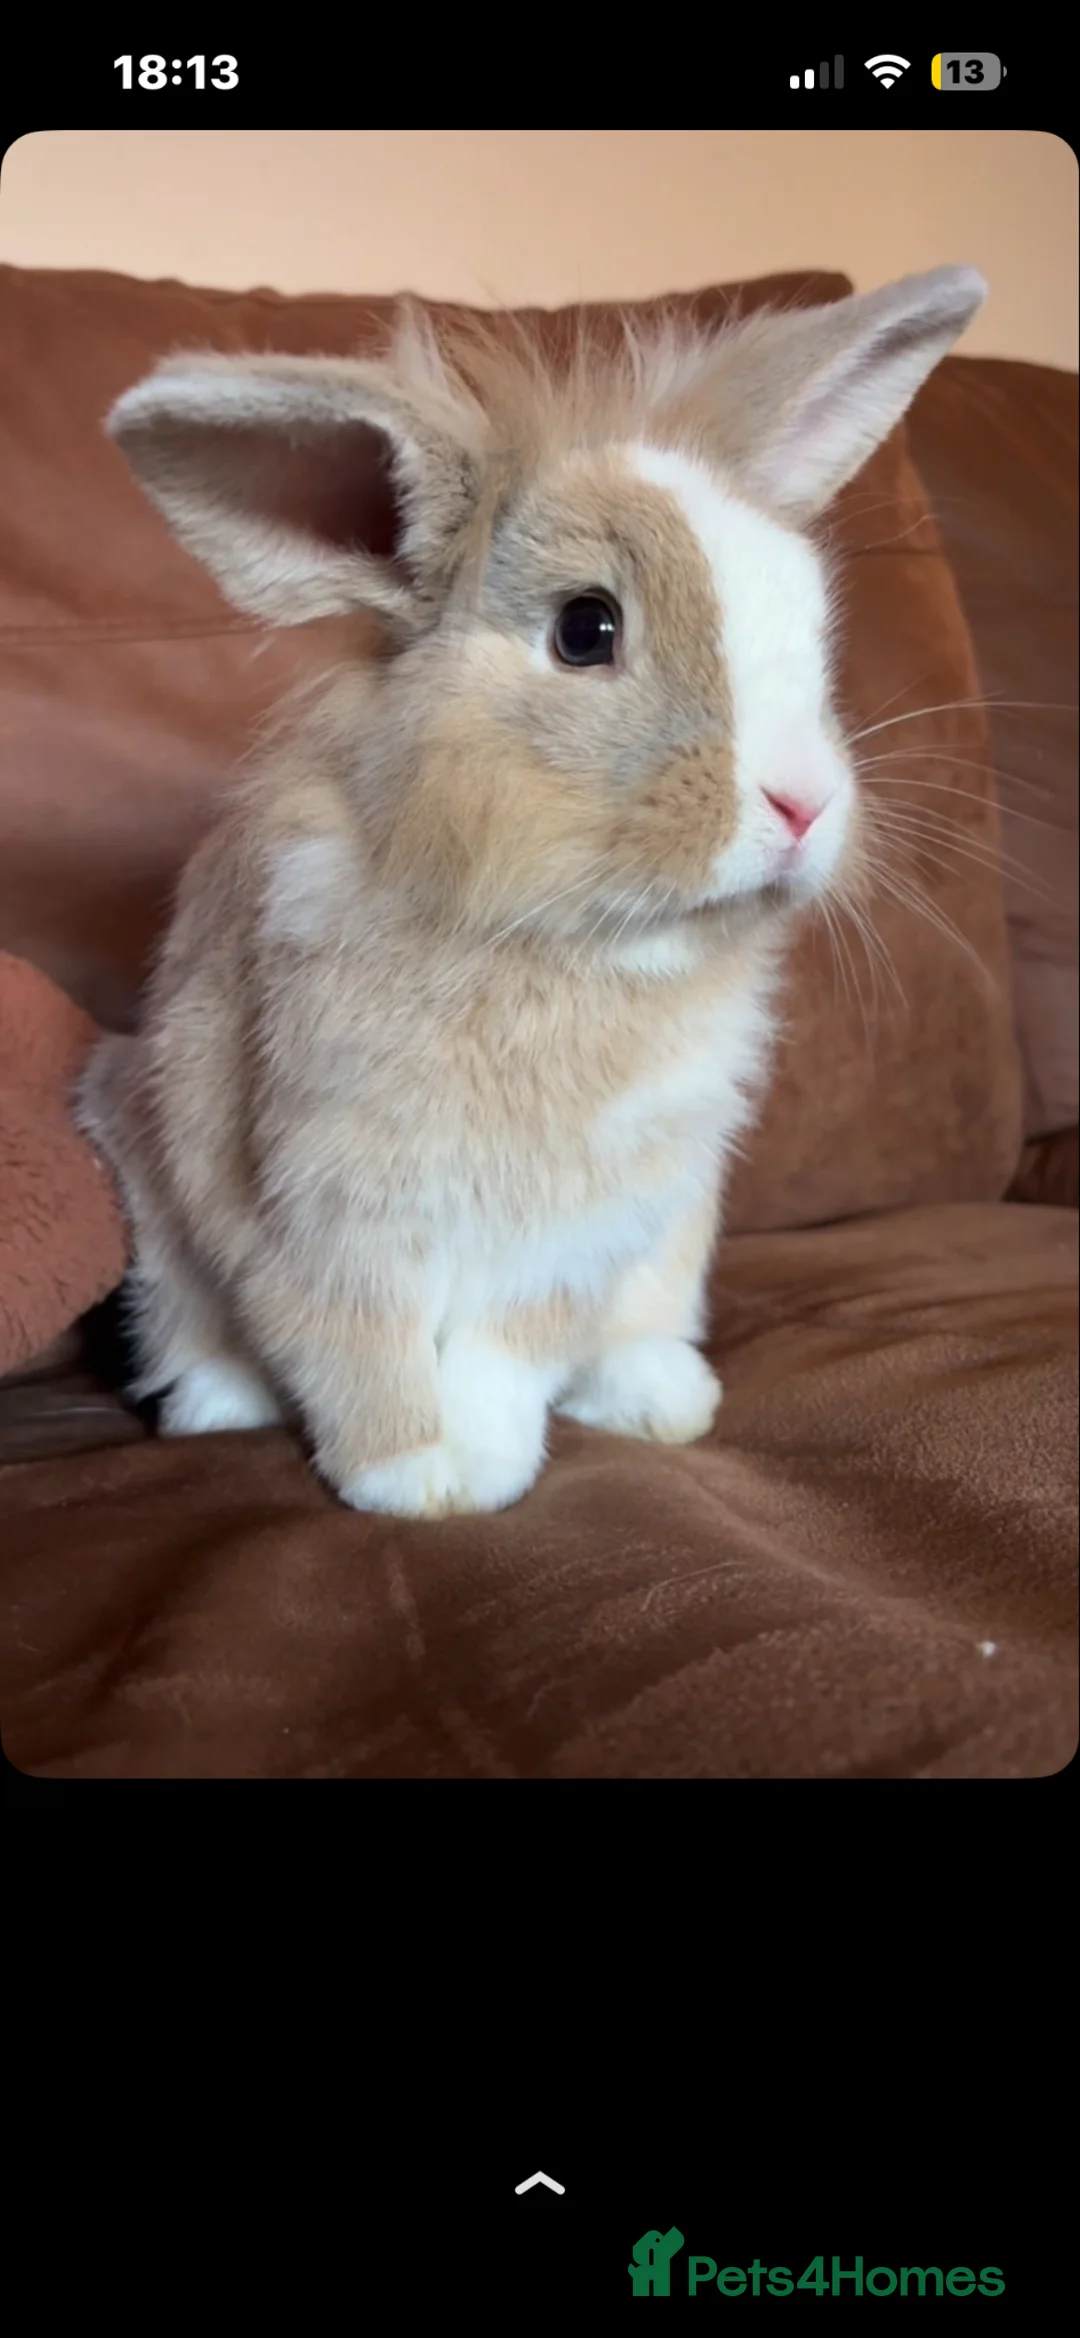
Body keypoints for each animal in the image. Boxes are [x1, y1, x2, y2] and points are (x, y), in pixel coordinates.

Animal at [79, 266, 986, 1519]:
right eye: (585, 628)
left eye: (809, 624)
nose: (802, 805)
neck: (583, 947)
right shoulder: (316, 1197)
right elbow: (355, 1339)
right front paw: (414, 1480)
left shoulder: (584, 1229)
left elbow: (506, 1351)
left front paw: (485, 1464)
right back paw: (218, 1402)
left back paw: (662, 1398)